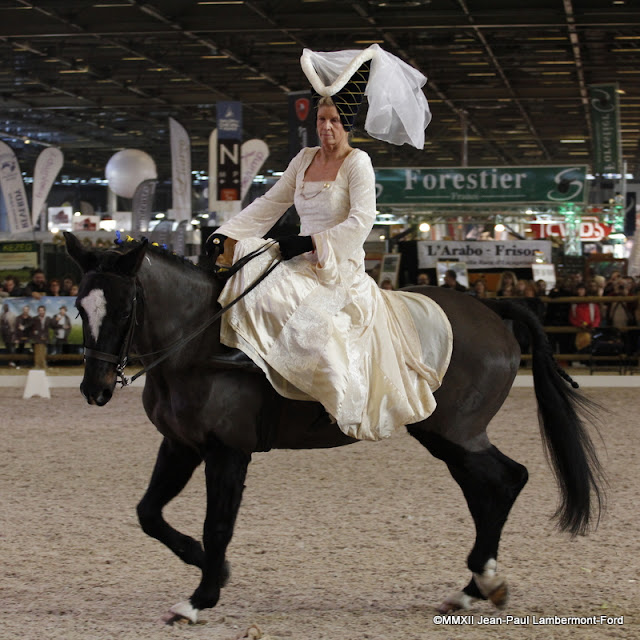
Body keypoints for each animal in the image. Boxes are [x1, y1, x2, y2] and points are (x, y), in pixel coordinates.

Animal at [63, 234, 604, 624]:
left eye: (125, 309)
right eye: (79, 307)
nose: (95, 389)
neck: (199, 345)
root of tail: (492, 311)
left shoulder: (227, 452)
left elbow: (217, 525)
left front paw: (200, 598)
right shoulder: (180, 446)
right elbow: (149, 514)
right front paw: (208, 568)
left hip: (458, 433)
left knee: (507, 481)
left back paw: (483, 582)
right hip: (447, 438)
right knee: (487, 491)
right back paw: (475, 587)